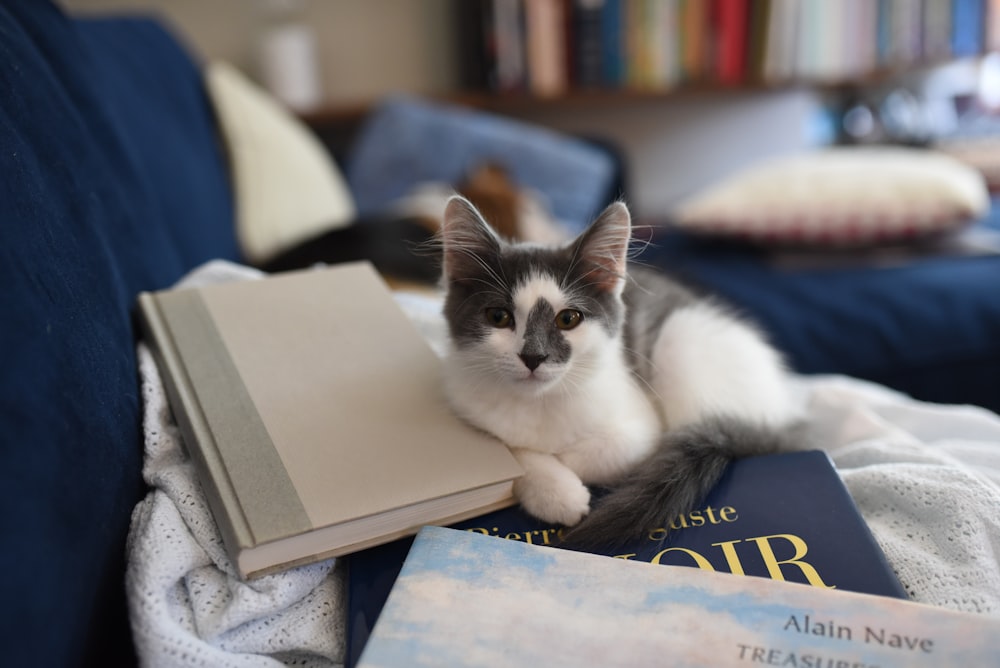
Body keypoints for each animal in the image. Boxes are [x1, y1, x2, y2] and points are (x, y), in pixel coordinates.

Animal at [438, 194, 804, 548]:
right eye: (498, 317)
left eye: (568, 319)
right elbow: (513, 450)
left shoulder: (642, 423)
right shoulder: (463, 400)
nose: (533, 356)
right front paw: (554, 489)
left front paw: (563, 477)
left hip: (681, 339)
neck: (541, 402)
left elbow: (612, 450)